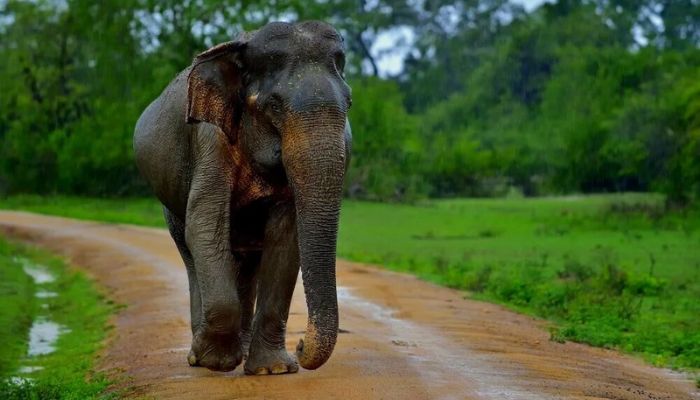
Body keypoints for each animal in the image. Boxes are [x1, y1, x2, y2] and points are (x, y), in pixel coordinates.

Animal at [133, 20, 352, 375]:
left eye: (350, 104)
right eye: (274, 105)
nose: (300, 345)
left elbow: (285, 238)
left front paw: (272, 369)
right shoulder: (210, 138)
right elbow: (205, 225)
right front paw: (216, 362)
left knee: (248, 263)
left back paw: (244, 350)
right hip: (170, 205)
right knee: (191, 250)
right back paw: (198, 355)